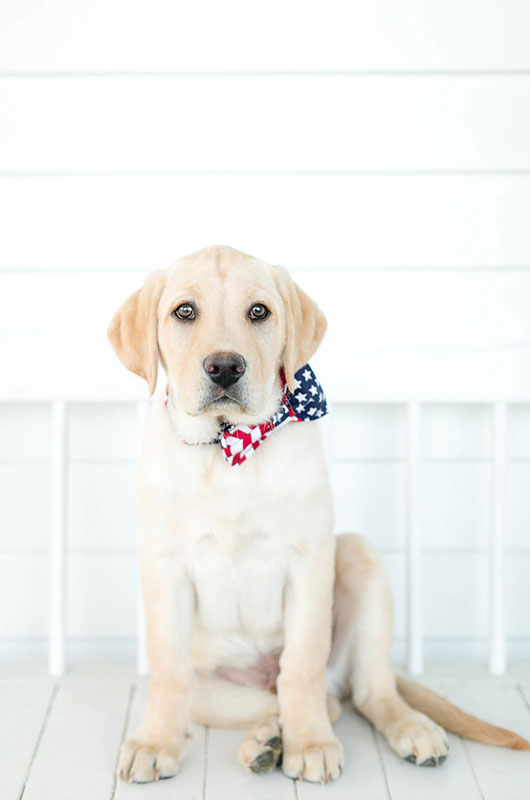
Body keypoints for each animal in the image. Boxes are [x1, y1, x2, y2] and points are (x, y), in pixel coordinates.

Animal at [108, 247, 528, 784]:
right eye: (184, 311)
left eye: (259, 311)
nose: (224, 367)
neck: (229, 449)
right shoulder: (163, 564)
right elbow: (166, 667)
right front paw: (154, 741)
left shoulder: (308, 560)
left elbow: (303, 663)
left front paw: (309, 744)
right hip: (214, 693)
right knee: (277, 700)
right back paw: (264, 742)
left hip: (357, 556)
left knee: (357, 692)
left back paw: (405, 729)